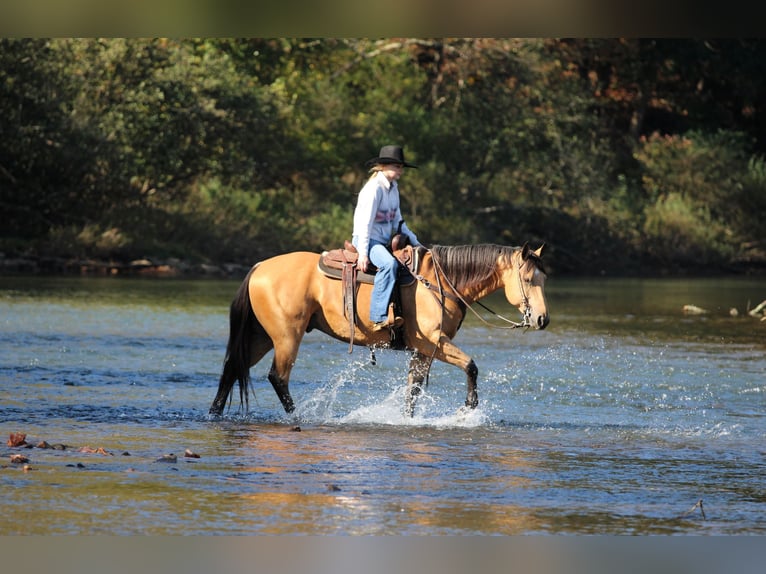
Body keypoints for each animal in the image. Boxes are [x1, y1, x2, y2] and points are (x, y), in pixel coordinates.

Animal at [208, 243, 549, 418]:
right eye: (528, 279)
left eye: (543, 278)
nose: (542, 320)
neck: (439, 283)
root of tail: (259, 267)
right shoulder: (433, 343)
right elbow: (471, 366)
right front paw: (469, 408)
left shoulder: (421, 351)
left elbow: (413, 391)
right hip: (286, 337)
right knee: (277, 378)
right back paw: (299, 418)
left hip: (260, 336)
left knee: (232, 368)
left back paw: (215, 412)